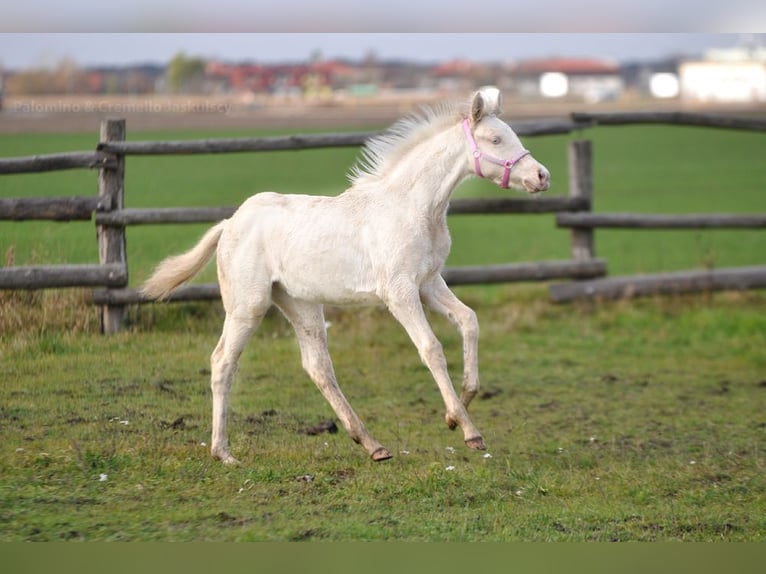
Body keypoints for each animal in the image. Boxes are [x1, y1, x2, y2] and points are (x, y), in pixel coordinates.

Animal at [141, 86, 550, 464]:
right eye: (495, 139)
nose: (541, 176)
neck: (412, 207)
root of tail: (229, 224)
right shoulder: (399, 291)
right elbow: (431, 348)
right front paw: (468, 430)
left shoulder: (429, 282)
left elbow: (469, 321)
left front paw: (458, 408)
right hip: (248, 305)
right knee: (223, 362)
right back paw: (223, 452)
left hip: (301, 305)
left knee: (318, 368)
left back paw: (373, 445)